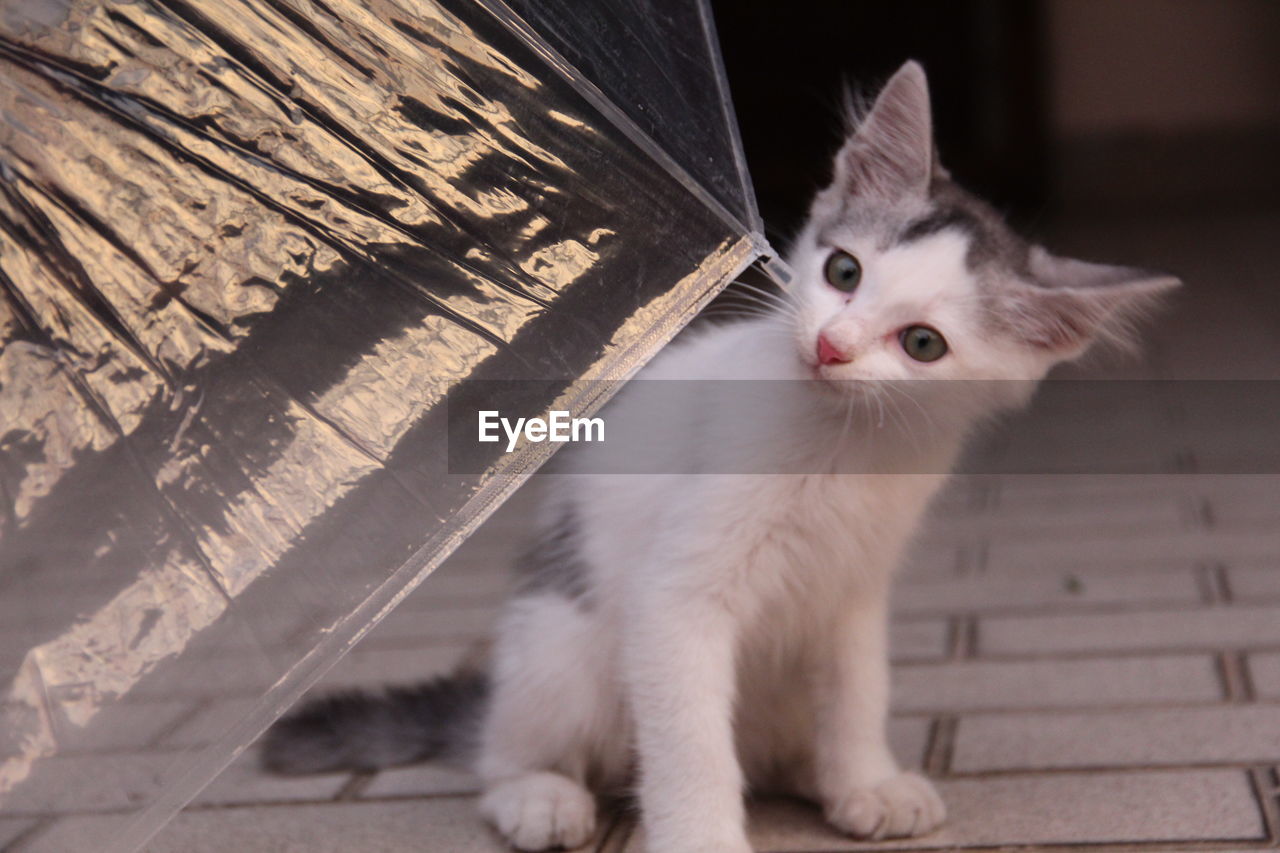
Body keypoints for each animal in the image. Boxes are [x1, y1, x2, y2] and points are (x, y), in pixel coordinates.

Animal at [262, 61, 1177, 850]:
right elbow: (690, 742)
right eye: (843, 271)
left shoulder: (855, 588)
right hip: (564, 646)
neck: (842, 446)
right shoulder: (676, 600)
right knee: (504, 750)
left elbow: (858, 691)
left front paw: (864, 778)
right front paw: (702, 833)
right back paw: (539, 796)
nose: (833, 346)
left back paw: (822, 777)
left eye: (923, 343)